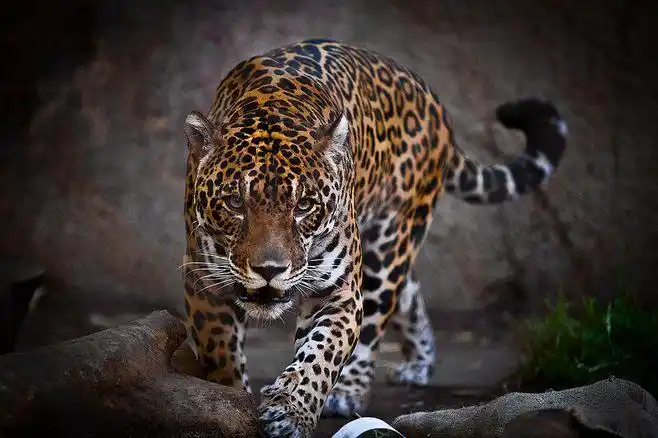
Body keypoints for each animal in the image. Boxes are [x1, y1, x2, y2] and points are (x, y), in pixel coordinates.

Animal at [181, 38, 567, 438]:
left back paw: (348, 393)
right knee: (410, 292)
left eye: (304, 205)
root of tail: (433, 102)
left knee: (377, 319)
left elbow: (319, 356)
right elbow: (221, 352)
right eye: (234, 202)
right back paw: (419, 363)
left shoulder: (337, 291)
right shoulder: (205, 284)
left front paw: (290, 412)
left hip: (389, 244)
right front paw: (232, 400)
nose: (270, 270)